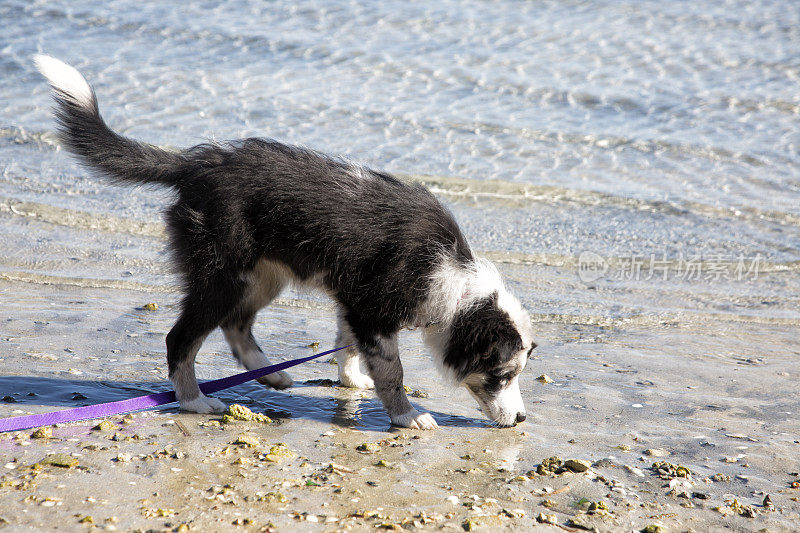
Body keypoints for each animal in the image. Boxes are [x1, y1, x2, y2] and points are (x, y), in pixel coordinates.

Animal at [37, 55, 536, 428]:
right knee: (181, 339)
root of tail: (199, 164)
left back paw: (269, 376)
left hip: (261, 275)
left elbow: (348, 344)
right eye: (500, 375)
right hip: (222, 273)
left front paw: (354, 381)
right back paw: (196, 401)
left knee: (236, 325)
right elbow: (392, 369)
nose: (522, 420)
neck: (452, 278)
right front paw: (407, 415)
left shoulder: (354, 304)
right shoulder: (372, 313)